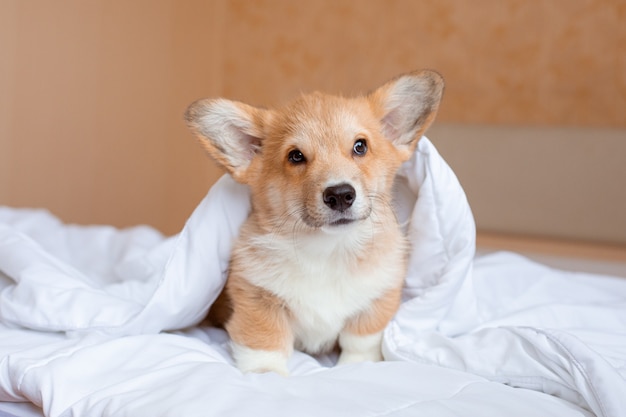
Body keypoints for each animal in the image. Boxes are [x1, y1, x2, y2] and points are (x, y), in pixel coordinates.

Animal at [183, 69, 442, 374]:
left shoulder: (377, 299)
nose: (340, 195)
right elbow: (265, 345)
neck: (326, 250)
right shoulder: (257, 298)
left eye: (360, 146)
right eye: (296, 156)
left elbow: (360, 343)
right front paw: (266, 376)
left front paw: (356, 369)